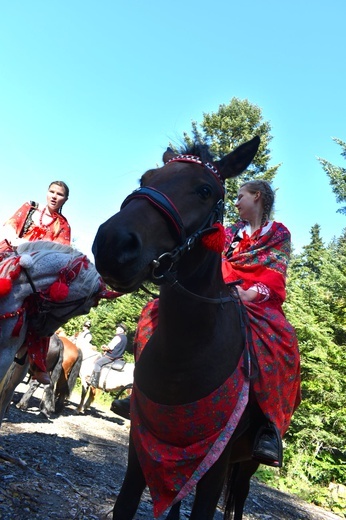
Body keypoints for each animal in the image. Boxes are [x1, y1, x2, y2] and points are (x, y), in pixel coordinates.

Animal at [90, 136, 264, 516]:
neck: (186, 352)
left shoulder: (218, 461)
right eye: (146, 178)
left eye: (205, 190)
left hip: (246, 464)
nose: (113, 243)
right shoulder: (143, 445)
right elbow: (125, 505)